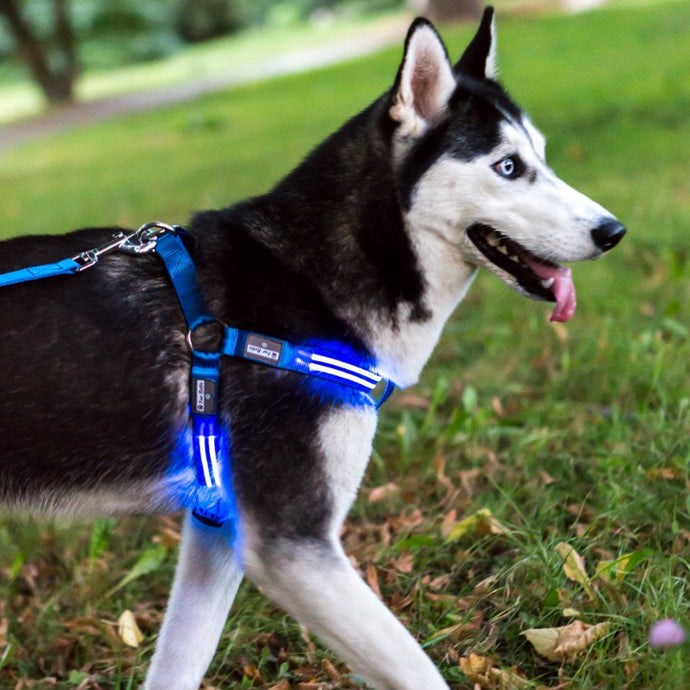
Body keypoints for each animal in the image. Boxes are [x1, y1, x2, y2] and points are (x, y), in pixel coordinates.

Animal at [0, 6, 620, 688]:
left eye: (542, 158)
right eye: (508, 167)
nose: (613, 231)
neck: (310, 280)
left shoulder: (221, 531)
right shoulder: (291, 544)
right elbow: (417, 671)